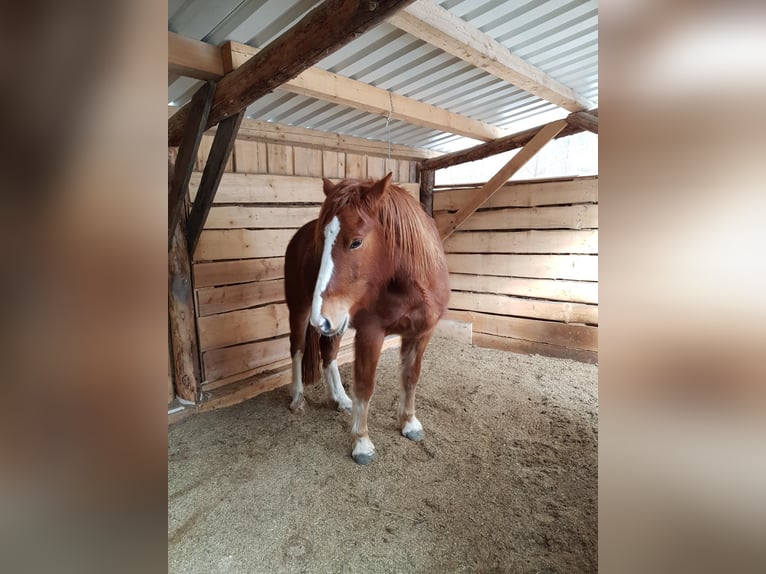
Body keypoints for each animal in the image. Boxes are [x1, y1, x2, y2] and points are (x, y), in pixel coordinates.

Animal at [284, 173, 448, 466]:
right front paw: (361, 443)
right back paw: (297, 399)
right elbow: (365, 386)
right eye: (321, 241)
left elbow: (411, 377)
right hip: (303, 311)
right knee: (298, 349)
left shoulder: (420, 333)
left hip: (336, 323)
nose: (319, 319)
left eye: (356, 242)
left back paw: (339, 399)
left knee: (329, 355)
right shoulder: (371, 334)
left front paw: (409, 423)